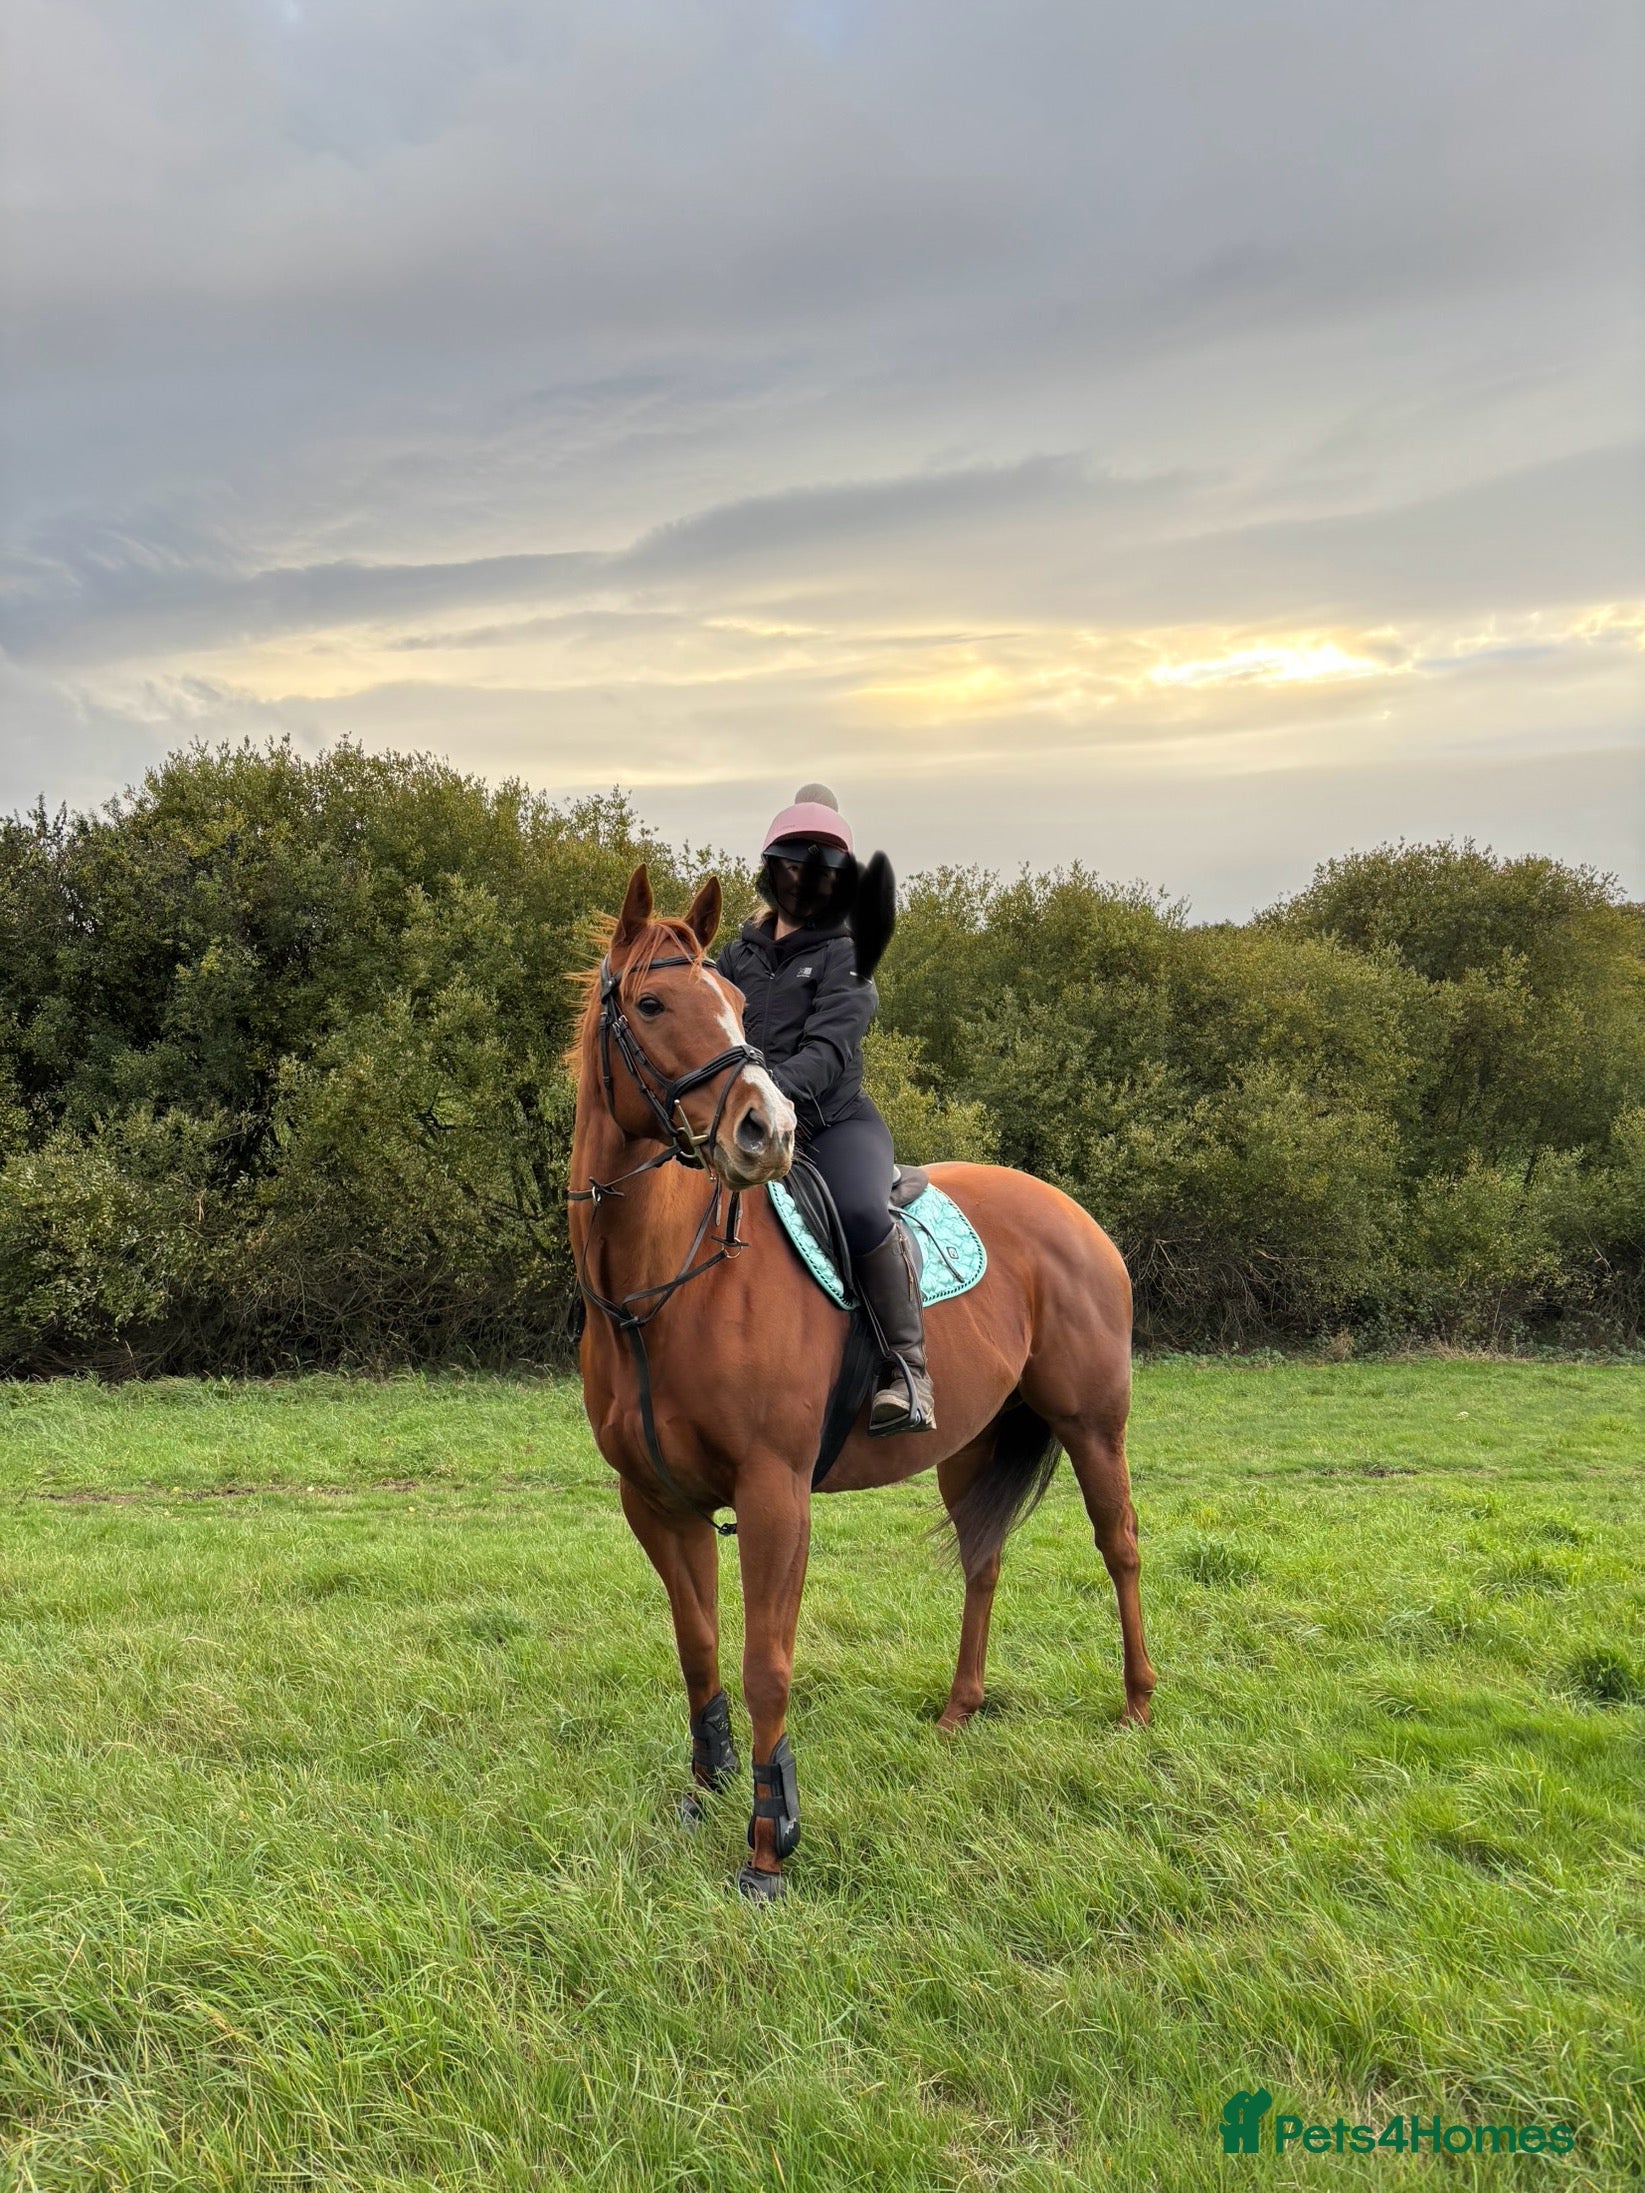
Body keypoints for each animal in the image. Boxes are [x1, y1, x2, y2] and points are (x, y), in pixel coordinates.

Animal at [570, 865, 1154, 1898]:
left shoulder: (774, 1494)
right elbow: (697, 1646)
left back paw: (1134, 1704)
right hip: (970, 1442)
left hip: (1093, 1422)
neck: (661, 1287)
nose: (763, 1128)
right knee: (982, 1557)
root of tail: (1070, 1213)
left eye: (734, 1008)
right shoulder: (657, 1501)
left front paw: (770, 1841)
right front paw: (705, 1788)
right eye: (651, 1003)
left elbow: (765, 1660)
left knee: (1117, 1544)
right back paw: (961, 1708)